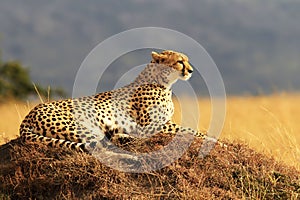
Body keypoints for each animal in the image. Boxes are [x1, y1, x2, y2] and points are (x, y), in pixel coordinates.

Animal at [19, 50, 220, 153]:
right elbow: (191, 130)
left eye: (187, 61)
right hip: (81, 125)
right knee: (100, 143)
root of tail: (29, 114)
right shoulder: (154, 125)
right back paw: (123, 137)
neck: (164, 83)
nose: (191, 70)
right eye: (180, 61)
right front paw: (215, 140)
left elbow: (191, 130)